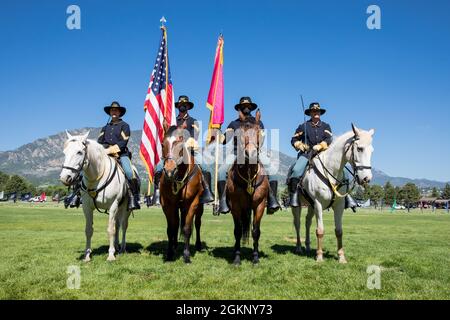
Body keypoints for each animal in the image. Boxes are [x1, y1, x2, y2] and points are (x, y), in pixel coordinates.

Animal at [59, 131, 131, 262]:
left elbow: (110, 230)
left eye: (79, 152)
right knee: (117, 225)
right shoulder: (87, 207)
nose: (65, 178)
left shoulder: (113, 206)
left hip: (125, 209)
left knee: (123, 226)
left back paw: (122, 248)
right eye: (64, 152)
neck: (97, 177)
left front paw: (111, 255)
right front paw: (87, 255)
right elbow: (88, 230)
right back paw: (117, 246)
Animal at [160, 120, 204, 262]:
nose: (169, 171)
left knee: (197, 223)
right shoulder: (167, 205)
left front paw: (186, 255)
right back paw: (174, 246)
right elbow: (171, 229)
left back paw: (198, 245)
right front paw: (169, 253)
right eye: (163, 144)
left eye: (180, 144)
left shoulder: (192, 203)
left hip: (199, 207)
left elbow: (187, 228)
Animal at [225, 110, 268, 264]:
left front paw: (255, 257)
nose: (251, 154)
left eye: (258, 131)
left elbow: (256, 231)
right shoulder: (235, 206)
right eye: (240, 132)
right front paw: (237, 258)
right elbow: (237, 231)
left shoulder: (259, 205)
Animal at [292, 123, 372, 262]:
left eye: (372, 150)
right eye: (360, 148)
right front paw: (319, 256)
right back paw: (298, 247)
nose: (366, 178)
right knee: (298, 223)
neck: (330, 170)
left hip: (311, 206)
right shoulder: (318, 204)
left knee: (307, 222)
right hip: (298, 205)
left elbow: (339, 231)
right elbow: (320, 230)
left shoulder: (338, 205)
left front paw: (341, 257)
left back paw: (307, 246)